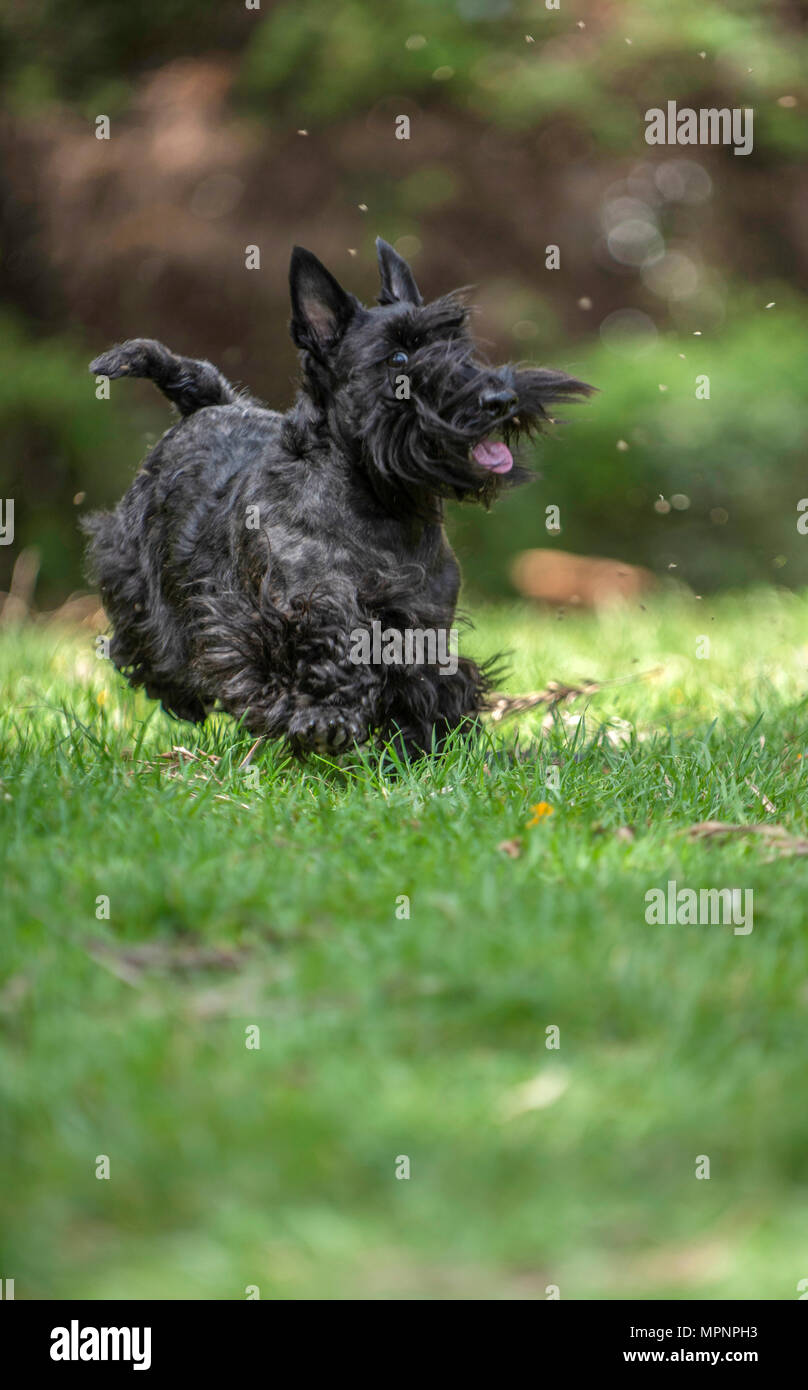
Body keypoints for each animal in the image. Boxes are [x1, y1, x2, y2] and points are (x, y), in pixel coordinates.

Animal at [83, 241, 592, 761]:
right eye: (398, 356)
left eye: (458, 345)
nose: (500, 400)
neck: (381, 505)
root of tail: (211, 402)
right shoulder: (291, 614)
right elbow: (319, 657)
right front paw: (324, 716)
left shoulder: (424, 619)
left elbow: (428, 682)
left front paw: (427, 746)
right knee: (151, 650)